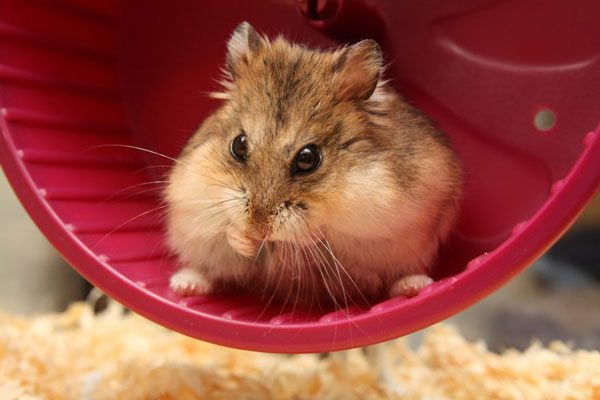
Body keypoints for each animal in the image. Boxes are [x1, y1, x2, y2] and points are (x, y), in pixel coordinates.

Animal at [164, 21, 464, 308]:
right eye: (238, 145)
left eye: (308, 158)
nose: (258, 231)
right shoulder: (193, 197)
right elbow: (225, 228)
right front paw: (244, 240)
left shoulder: (377, 213)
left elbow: (323, 232)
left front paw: (301, 235)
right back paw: (184, 285)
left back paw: (415, 287)